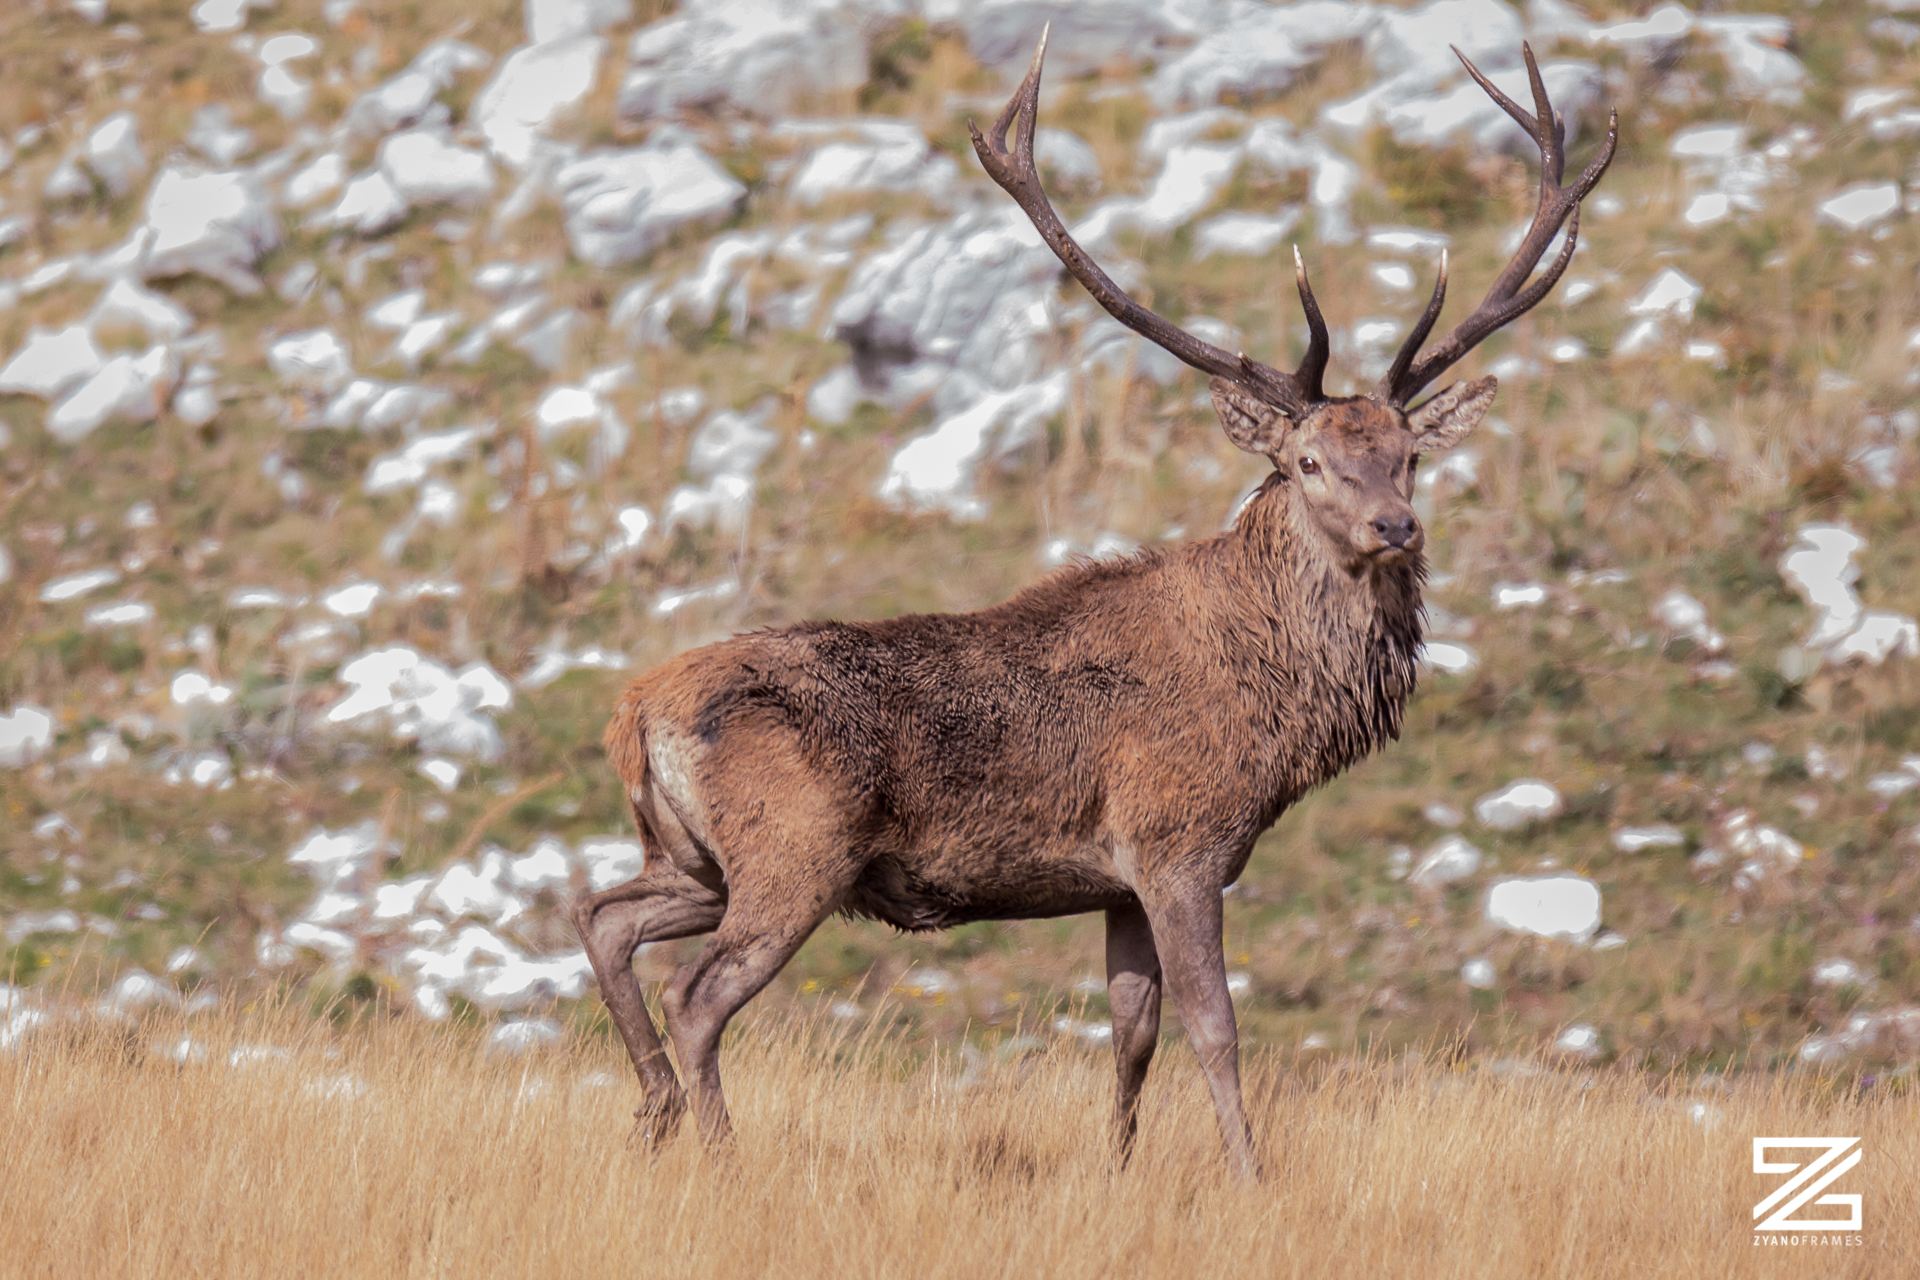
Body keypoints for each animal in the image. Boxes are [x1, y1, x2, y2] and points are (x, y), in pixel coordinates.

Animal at [572, 34, 1615, 1177]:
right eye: (1306, 462)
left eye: (1410, 455)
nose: (1397, 527)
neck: (1278, 714)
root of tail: (632, 710)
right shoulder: (1179, 843)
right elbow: (1215, 1026)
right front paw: (1249, 1174)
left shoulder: (1114, 881)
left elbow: (1132, 1034)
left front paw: (1116, 1169)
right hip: (792, 852)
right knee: (697, 993)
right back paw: (717, 1151)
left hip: (690, 857)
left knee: (602, 916)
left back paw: (656, 1115)